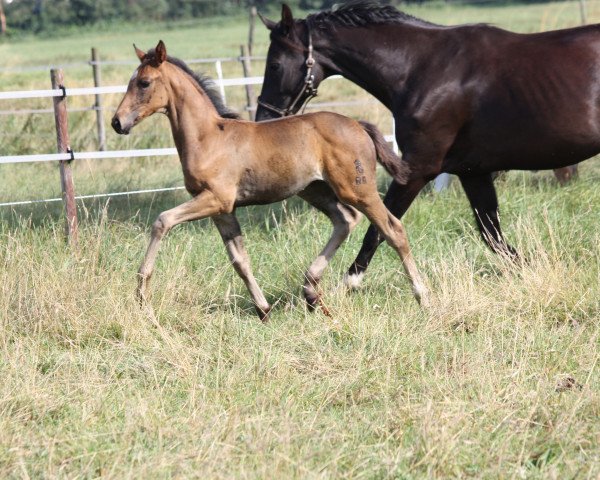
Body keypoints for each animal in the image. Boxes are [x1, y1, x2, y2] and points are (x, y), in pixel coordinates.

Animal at [112, 40, 428, 318]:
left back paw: (422, 297)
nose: (117, 122)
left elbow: (162, 220)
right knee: (345, 219)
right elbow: (240, 260)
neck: (208, 138)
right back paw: (310, 290)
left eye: (144, 83)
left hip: (356, 189)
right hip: (314, 190)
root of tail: (358, 124)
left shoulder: (215, 199)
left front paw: (141, 293)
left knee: (392, 229)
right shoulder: (223, 210)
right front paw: (264, 310)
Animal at [256, 1, 596, 288]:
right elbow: (492, 235)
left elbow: (379, 229)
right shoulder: (473, 173)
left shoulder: (416, 170)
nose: (263, 118)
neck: (422, 69)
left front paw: (347, 285)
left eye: (274, 65)